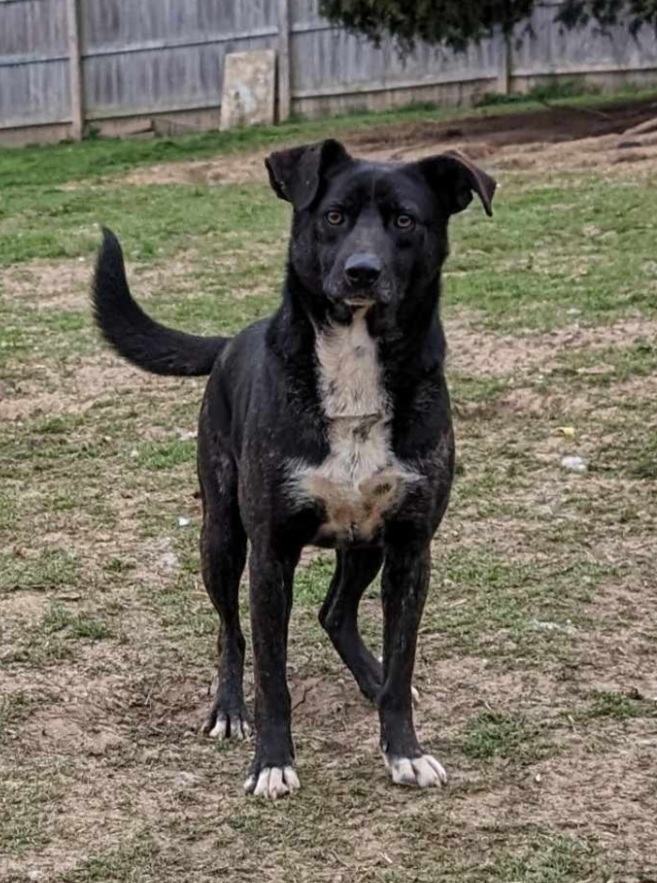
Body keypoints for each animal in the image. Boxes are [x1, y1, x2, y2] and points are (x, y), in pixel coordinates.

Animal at [91, 138, 492, 800]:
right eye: (333, 215)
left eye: (405, 221)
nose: (362, 272)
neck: (354, 364)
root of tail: (233, 337)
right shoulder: (271, 552)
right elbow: (271, 675)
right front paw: (271, 761)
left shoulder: (410, 547)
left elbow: (401, 655)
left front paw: (403, 749)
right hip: (221, 537)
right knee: (230, 633)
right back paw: (229, 709)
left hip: (364, 543)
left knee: (335, 613)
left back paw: (373, 679)